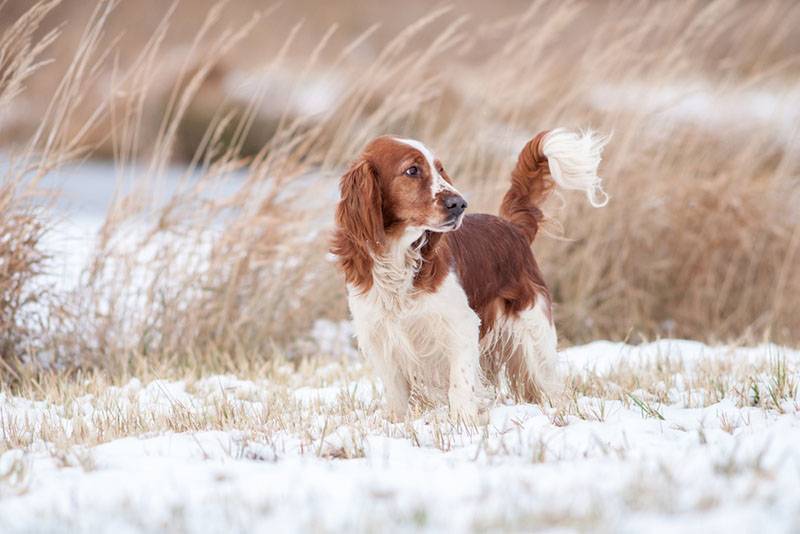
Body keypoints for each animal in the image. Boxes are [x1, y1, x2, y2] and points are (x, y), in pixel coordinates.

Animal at [332, 129, 608, 422]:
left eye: (440, 169)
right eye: (412, 170)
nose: (460, 203)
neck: (398, 259)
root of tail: (513, 227)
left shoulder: (461, 325)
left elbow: (460, 383)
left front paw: (464, 421)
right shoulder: (378, 334)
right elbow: (396, 392)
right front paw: (398, 422)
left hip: (536, 333)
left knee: (551, 384)